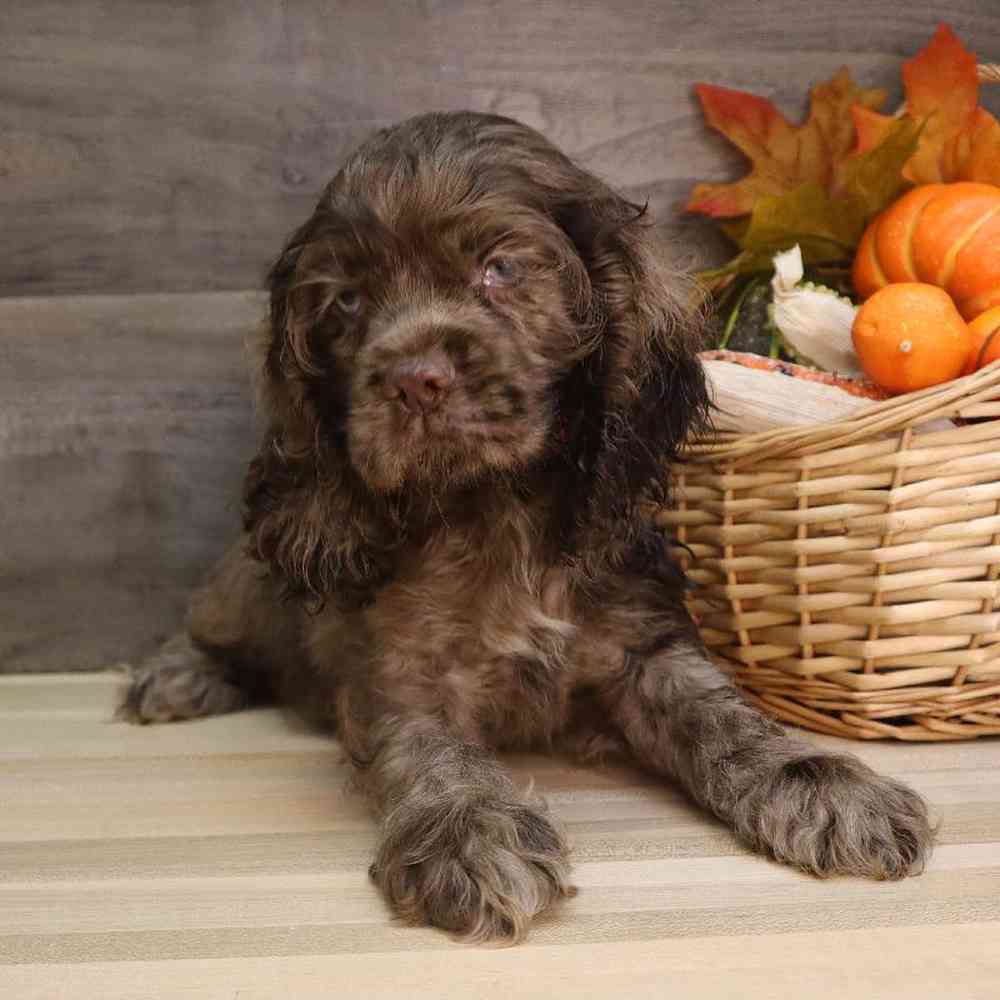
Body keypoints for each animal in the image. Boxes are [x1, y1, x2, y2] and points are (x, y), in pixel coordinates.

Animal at [121, 111, 932, 944]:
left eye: (500, 269)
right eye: (345, 303)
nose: (414, 382)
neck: (494, 508)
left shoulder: (644, 645)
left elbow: (725, 716)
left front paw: (824, 785)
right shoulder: (398, 672)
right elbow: (433, 750)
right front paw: (470, 832)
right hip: (247, 585)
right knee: (212, 621)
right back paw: (178, 675)